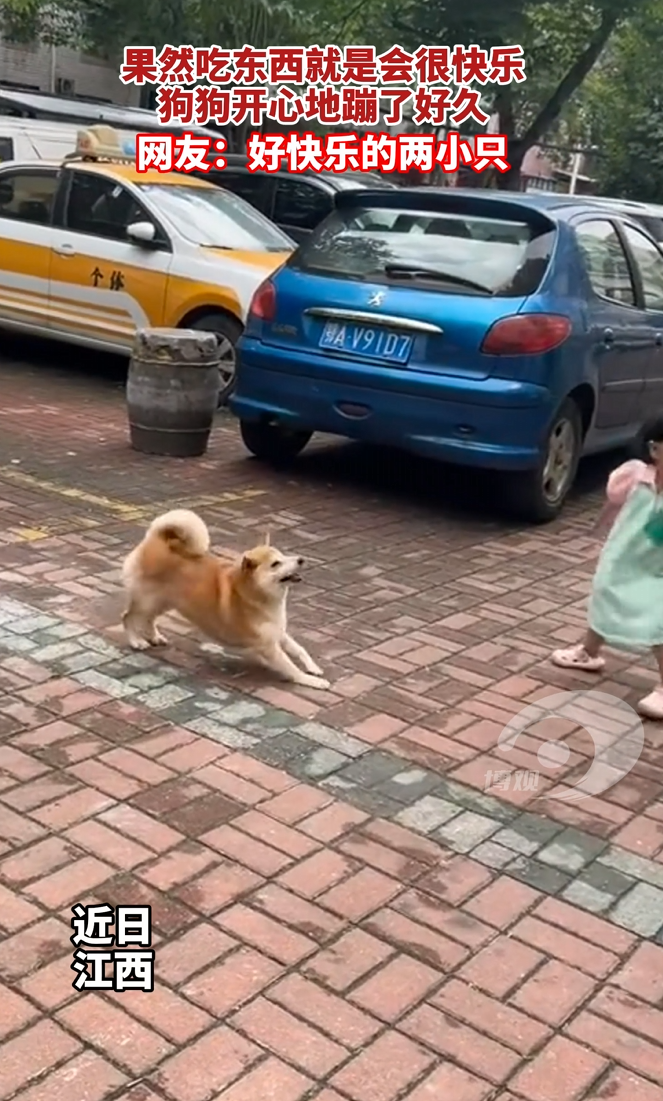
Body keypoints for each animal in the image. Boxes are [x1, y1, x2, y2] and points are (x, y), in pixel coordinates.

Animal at [121, 508, 328, 687]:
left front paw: (313, 667)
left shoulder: (278, 633)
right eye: (276, 564)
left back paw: (155, 637)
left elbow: (300, 650)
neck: (257, 596)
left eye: (284, 555)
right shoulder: (269, 647)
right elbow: (293, 670)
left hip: (165, 601)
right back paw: (136, 641)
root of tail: (158, 539)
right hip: (148, 601)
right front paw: (313, 681)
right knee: (128, 617)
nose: (301, 559)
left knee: (148, 619)